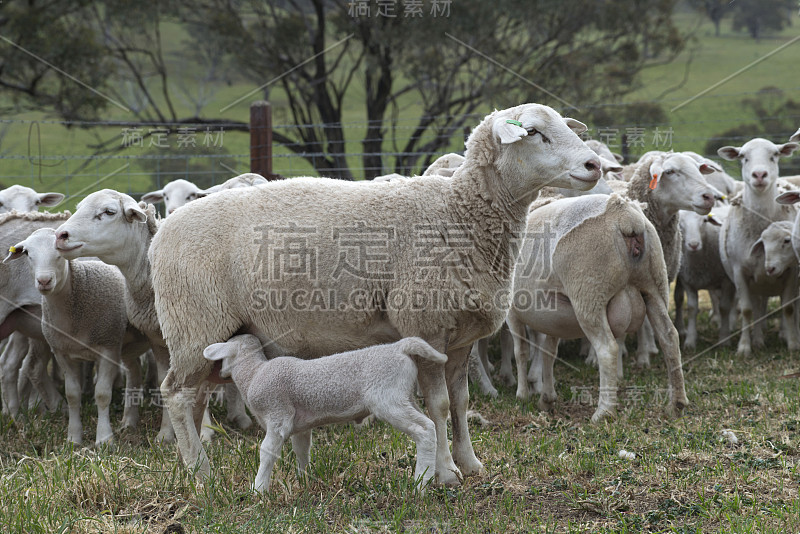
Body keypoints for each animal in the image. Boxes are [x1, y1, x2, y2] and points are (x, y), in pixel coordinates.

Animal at [5, 228, 148, 446]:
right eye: (27, 253)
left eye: (59, 251)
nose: (44, 281)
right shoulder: (62, 352)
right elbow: (72, 394)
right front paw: (73, 437)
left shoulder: (109, 348)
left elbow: (102, 394)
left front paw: (104, 439)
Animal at [203, 338, 444, 496]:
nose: (220, 375)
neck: (253, 373)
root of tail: (399, 347)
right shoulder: (299, 426)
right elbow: (302, 450)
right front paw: (303, 479)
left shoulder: (277, 416)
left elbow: (267, 452)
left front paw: (259, 489)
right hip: (405, 396)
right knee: (429, 425)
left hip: (388, 399)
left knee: (425, 429)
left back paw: (421, 484)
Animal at [506, 194, 688, 422]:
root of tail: (624, 215)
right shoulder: (555, 319)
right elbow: (549, 353)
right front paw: (546, 398)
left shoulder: (511, 313)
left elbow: (521, 351)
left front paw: (522, 395)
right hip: (655, 285)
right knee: (669, 338)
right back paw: (676, 404)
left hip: (588, 294)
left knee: (607, 348)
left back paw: (603, 412)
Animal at [672, 207, 736, 354]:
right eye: (681, 224)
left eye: (704, 220)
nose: (693, 245)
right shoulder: (688, 282)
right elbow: (692, 308)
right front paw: (690, 341)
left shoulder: (726, 281)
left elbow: (724, 307)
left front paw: (724, 339)